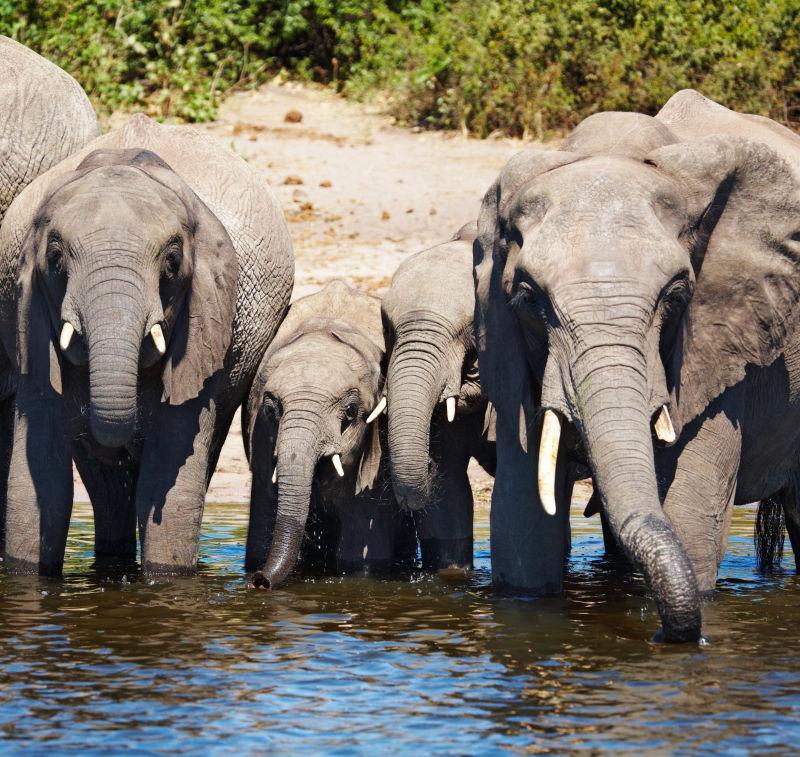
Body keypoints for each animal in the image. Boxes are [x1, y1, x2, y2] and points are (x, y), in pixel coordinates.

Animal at [0, 112, 294, 572]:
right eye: (56, 258)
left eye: (172, 262)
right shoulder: (26, 313)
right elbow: (39, 481)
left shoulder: (205, 323)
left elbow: (169, 483)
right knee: (104, 482)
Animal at [472, 90, 800, 644]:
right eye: (529, 298)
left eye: (676, 295)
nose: (663, 636)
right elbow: (522, 525)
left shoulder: (719, 341)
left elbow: (688, 518)